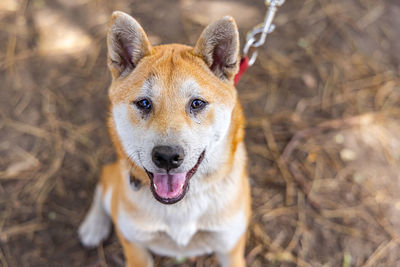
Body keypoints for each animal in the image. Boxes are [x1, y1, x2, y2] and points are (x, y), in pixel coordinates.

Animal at [79, 11, 250, 267]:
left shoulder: (230, 247)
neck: (182, 206)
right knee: (105, 180)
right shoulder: (135, 246)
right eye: (144, 103)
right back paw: (94, 226)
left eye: (197, 103)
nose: (167, 157)